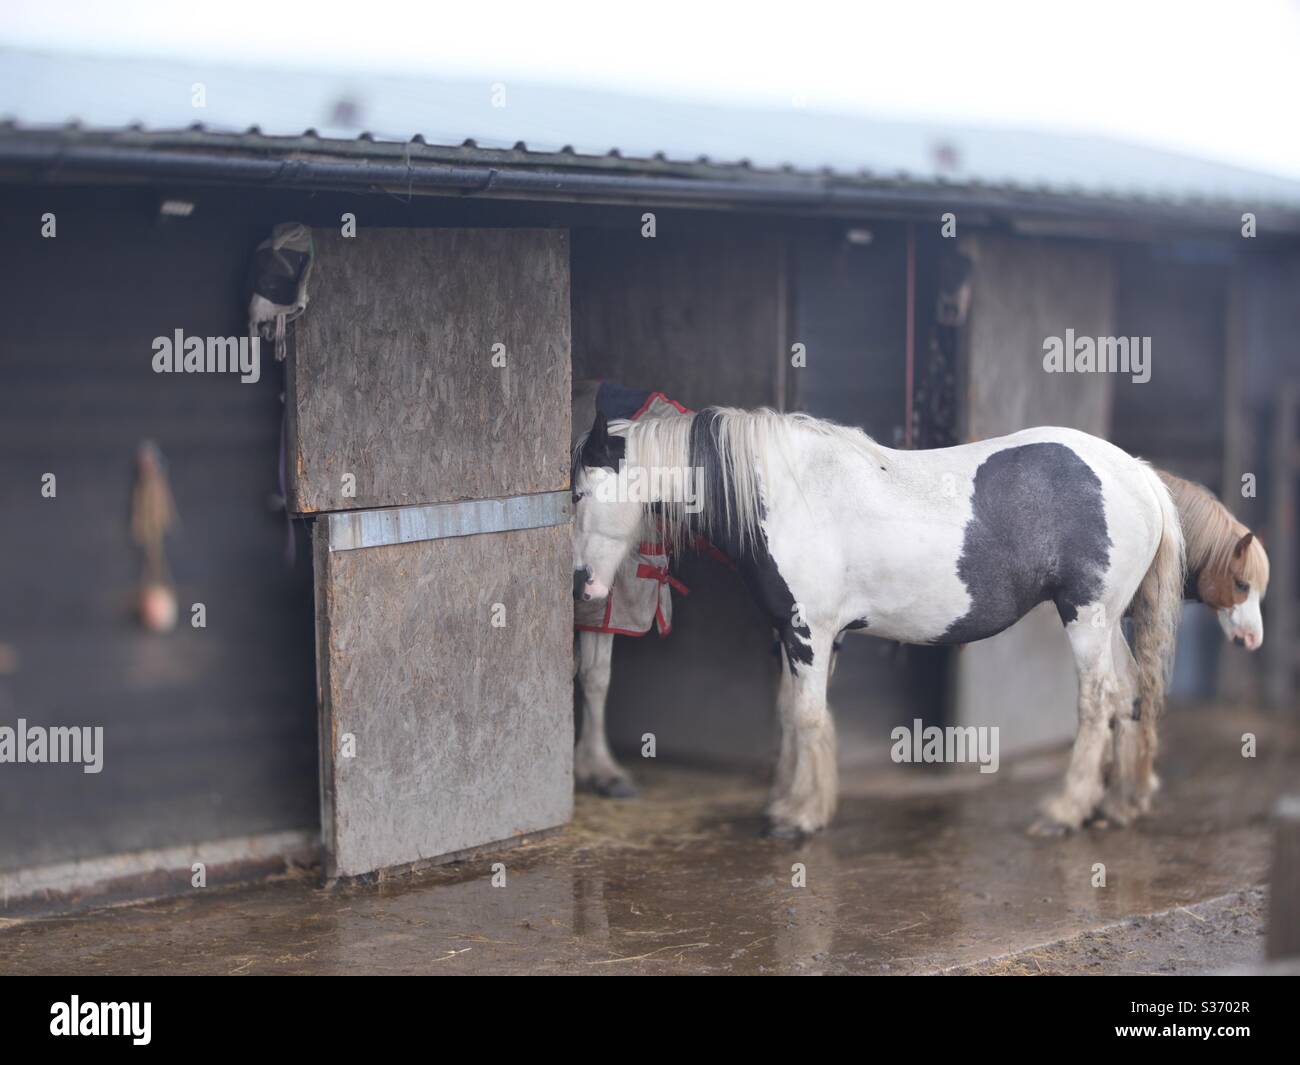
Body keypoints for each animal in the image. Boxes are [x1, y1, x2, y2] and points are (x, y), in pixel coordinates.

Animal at [572, 406, 1185, 837]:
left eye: (577, 493)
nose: (582, 588)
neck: (790, 494)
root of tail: (1138, 475)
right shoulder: (798, 635)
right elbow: (792, 715)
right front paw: (787, 802)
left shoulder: (810, 633)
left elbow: (808, 717)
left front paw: (800, 817)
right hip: (1109, 622)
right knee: (1130, 693)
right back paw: (1118, 804)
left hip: (1087, 619)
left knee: (1098, 702)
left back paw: (1065, 811)